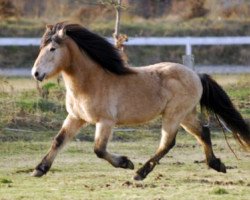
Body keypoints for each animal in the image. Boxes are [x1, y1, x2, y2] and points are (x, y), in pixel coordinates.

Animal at [31, 21, 250, 180]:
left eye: (52, 49)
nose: (36, 73)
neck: (91, 82)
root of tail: (196, 75)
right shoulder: (75, 118)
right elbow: (58, 140)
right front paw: (39, 169)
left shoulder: (105, 122)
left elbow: (99, 149)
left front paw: (126, 163)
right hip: (186, 115)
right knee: (203, 132)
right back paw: (217, 165)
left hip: (173, 115)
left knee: (168, 142)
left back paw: (140, 173)